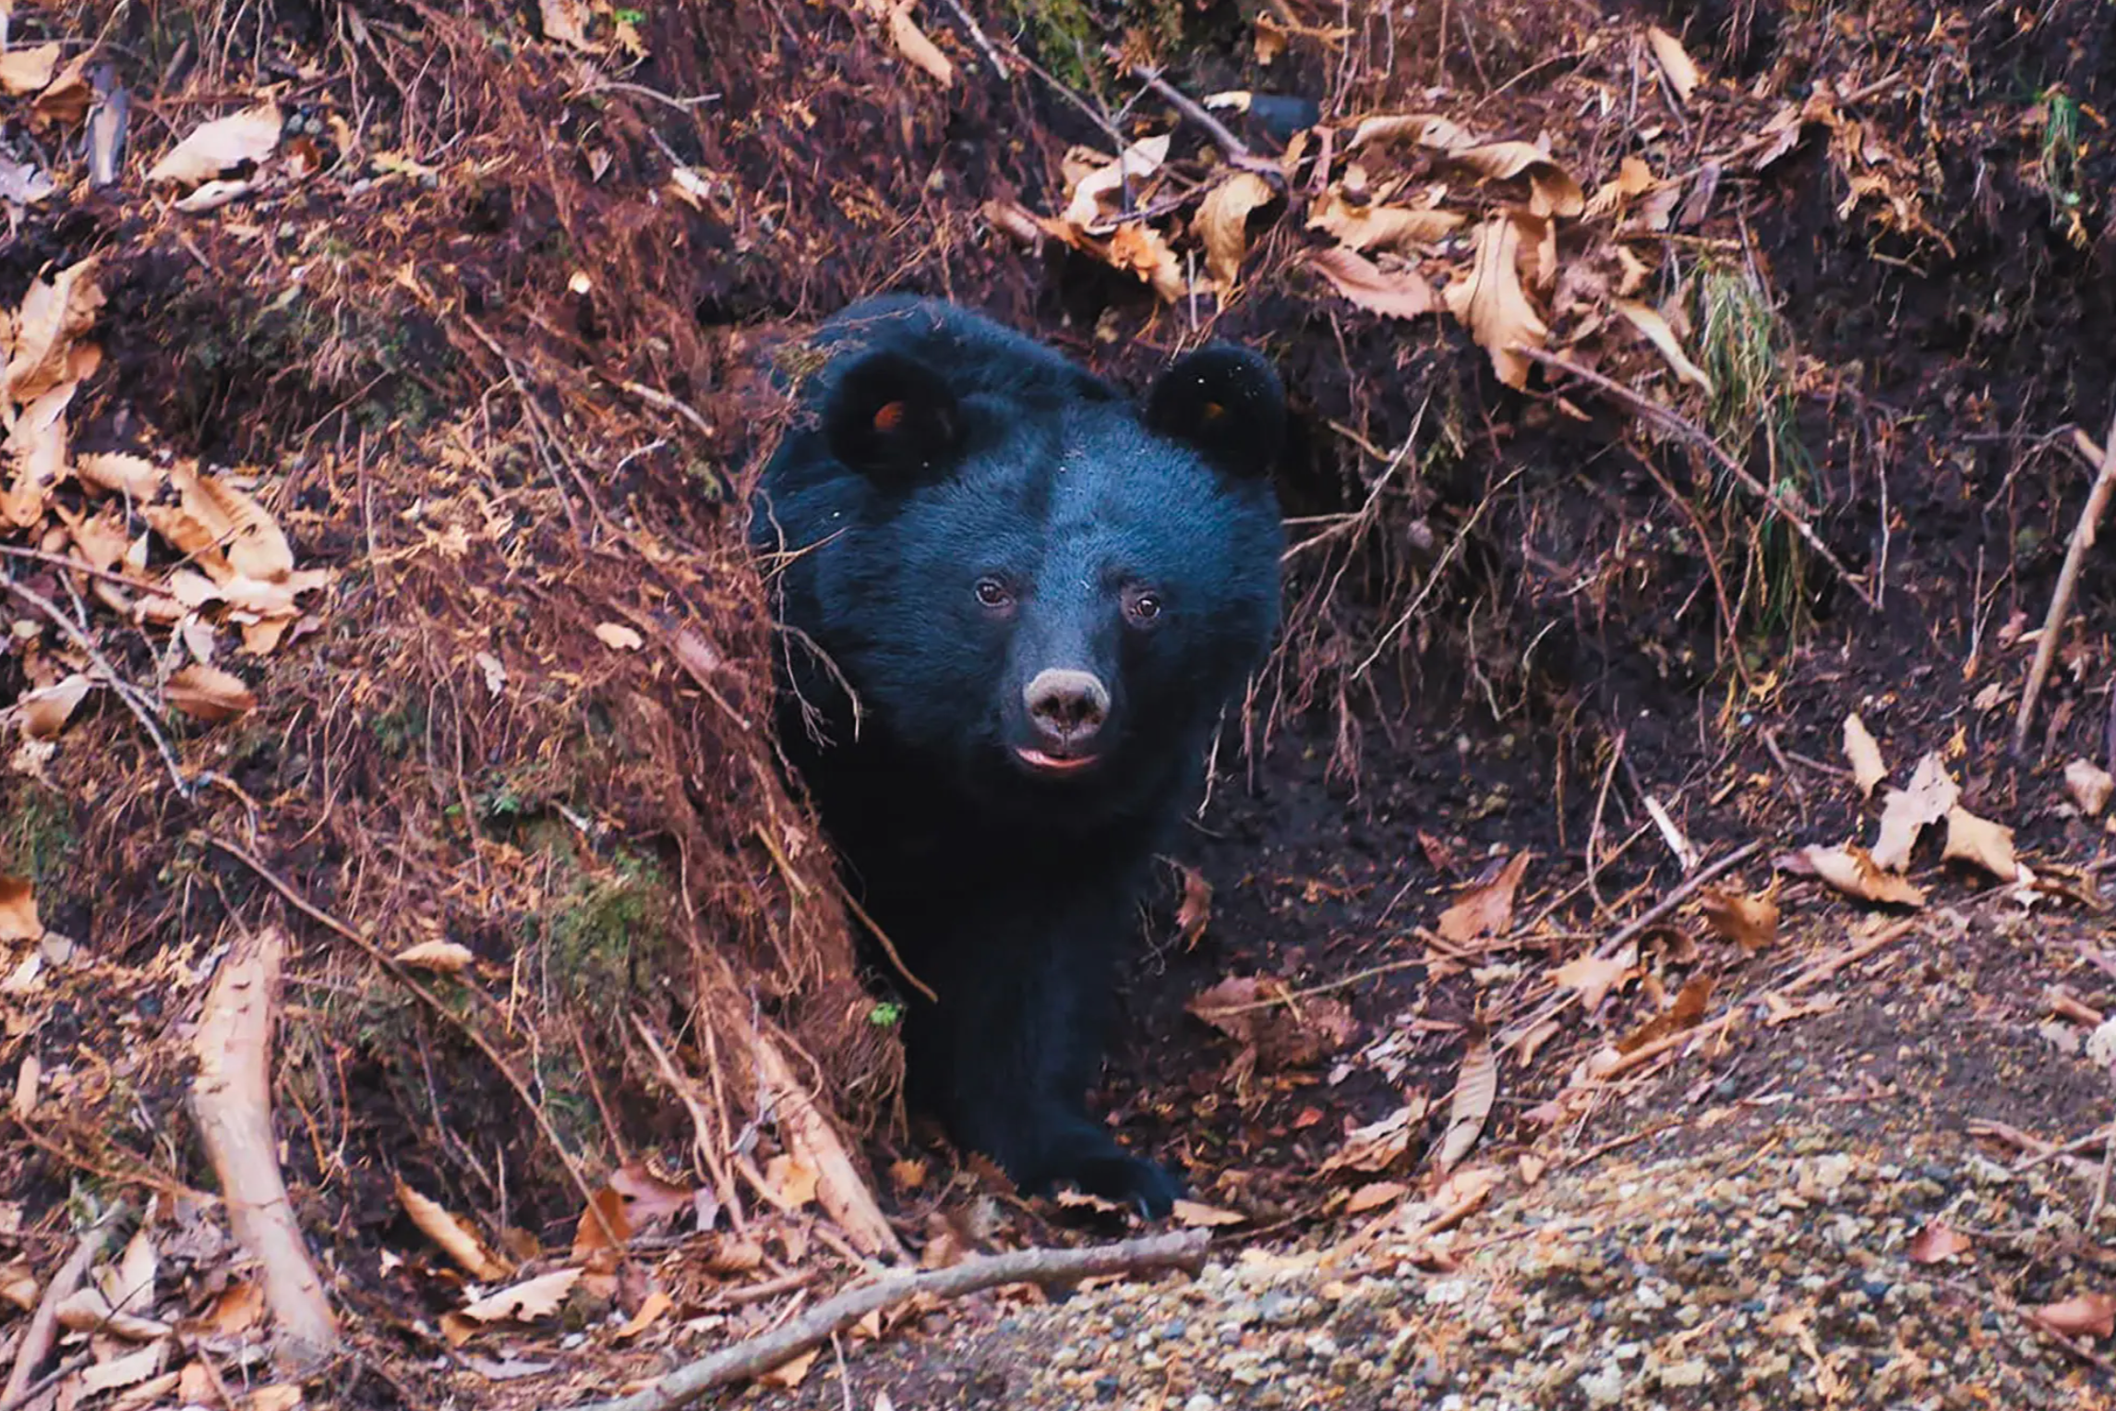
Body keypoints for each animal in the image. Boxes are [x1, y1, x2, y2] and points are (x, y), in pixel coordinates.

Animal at [750, 295, 1285, 1217]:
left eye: (1144, 599)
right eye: (991, 588)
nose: (1065, 703)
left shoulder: (1104, 808)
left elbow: (1033, 969)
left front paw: (1090, 1160)